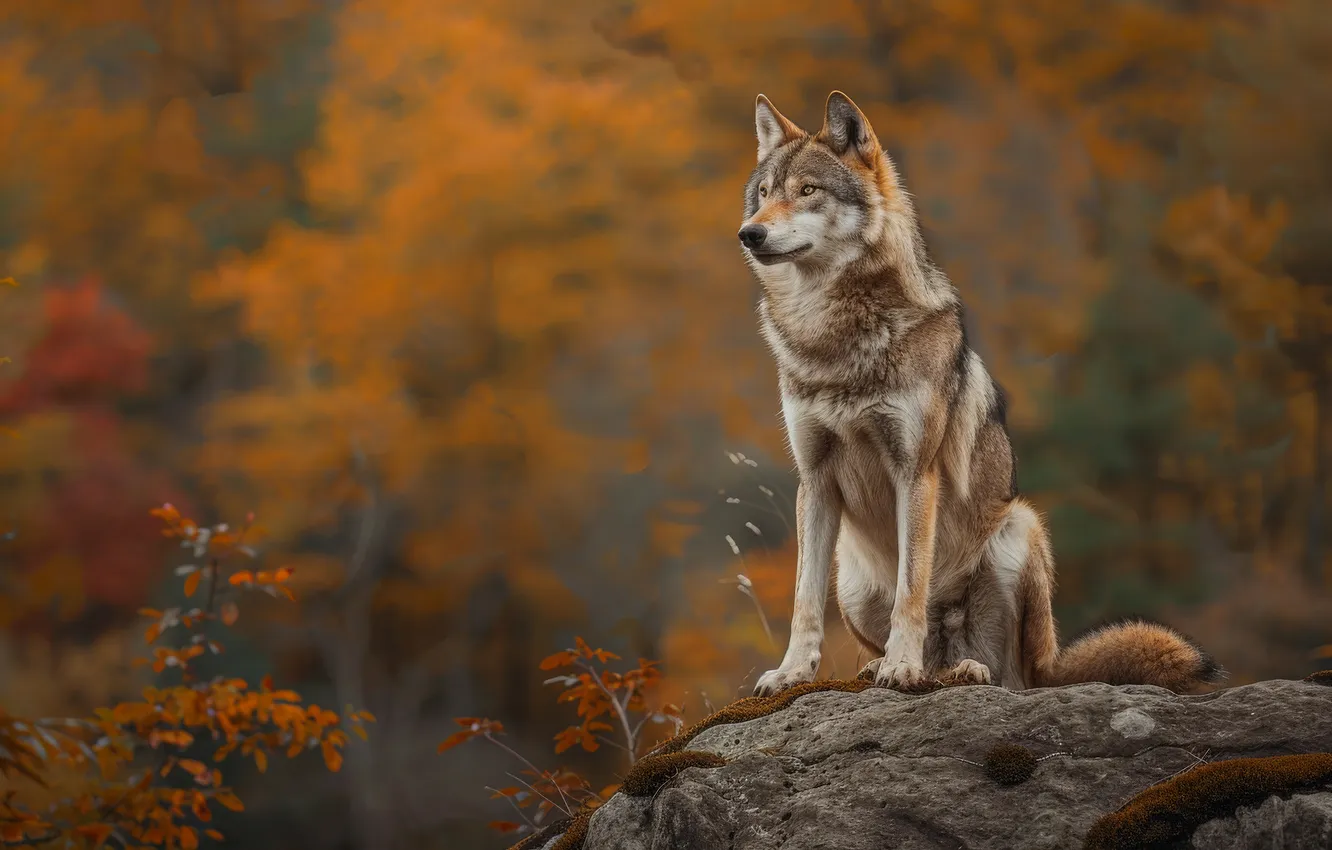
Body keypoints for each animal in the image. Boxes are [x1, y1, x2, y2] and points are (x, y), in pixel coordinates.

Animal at [740, 91, 1222, 696]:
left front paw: (901, 666)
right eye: (763, 194)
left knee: (1011, 676)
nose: (749, 233)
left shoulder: (915, 473)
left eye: (807, 191)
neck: (833, 335)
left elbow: (911, 590)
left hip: (1022, 530)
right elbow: (803, 600)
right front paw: (791, 674)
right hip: (850, 575)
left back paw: (960, 669)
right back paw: (899, 667)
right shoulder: (814, 480)